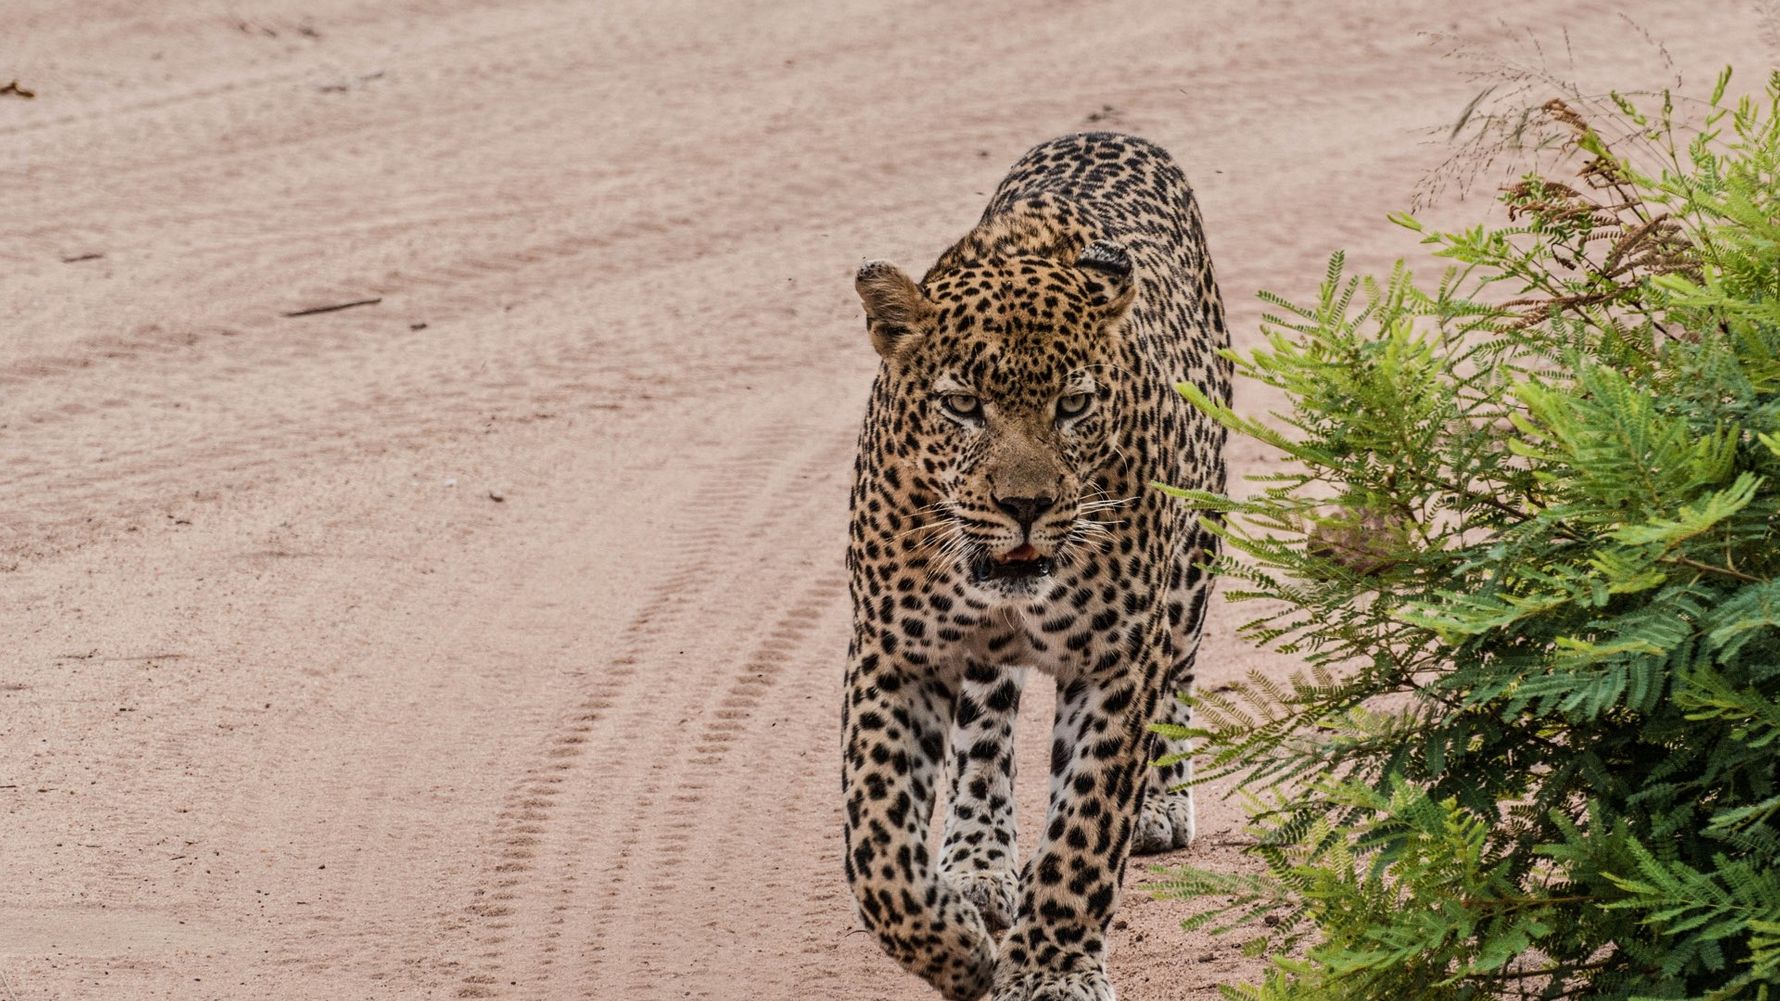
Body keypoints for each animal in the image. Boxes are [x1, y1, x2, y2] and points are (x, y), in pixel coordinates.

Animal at [840, 131, 1231, 1001]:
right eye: (962, 405)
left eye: (1073, 406)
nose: (1025, 504)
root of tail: (1109, 134)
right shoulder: (893, 648)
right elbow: (878, 846)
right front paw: (958, 948)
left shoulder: (1118, 658)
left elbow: (1084, 833)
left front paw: (1050, 969)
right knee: (983, 733)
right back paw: (976, 863)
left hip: (1195, 558)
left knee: (1178, 678)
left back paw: (1161, 804)